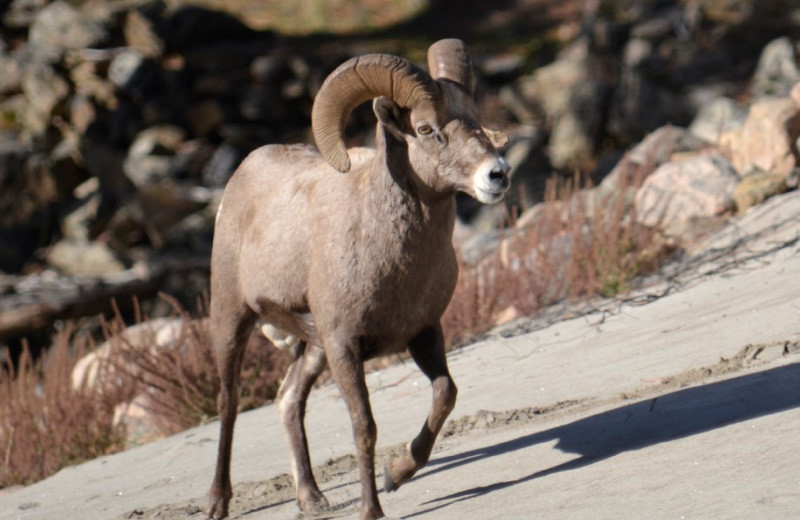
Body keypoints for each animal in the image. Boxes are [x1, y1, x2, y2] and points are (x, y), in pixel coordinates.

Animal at [209, 38, 510, 516]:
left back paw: (313, 499)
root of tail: (242, 175)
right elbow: (364, 426)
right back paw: (218, 503)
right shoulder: (345, 346)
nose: (497, 174)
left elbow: (445, 394)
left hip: (311, 348)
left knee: (288, 400)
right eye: (426, 129)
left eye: (475, 119)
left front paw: (397, 473)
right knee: (229, 402)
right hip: (232, 321)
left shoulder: (423, 332)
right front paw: (372, 509)